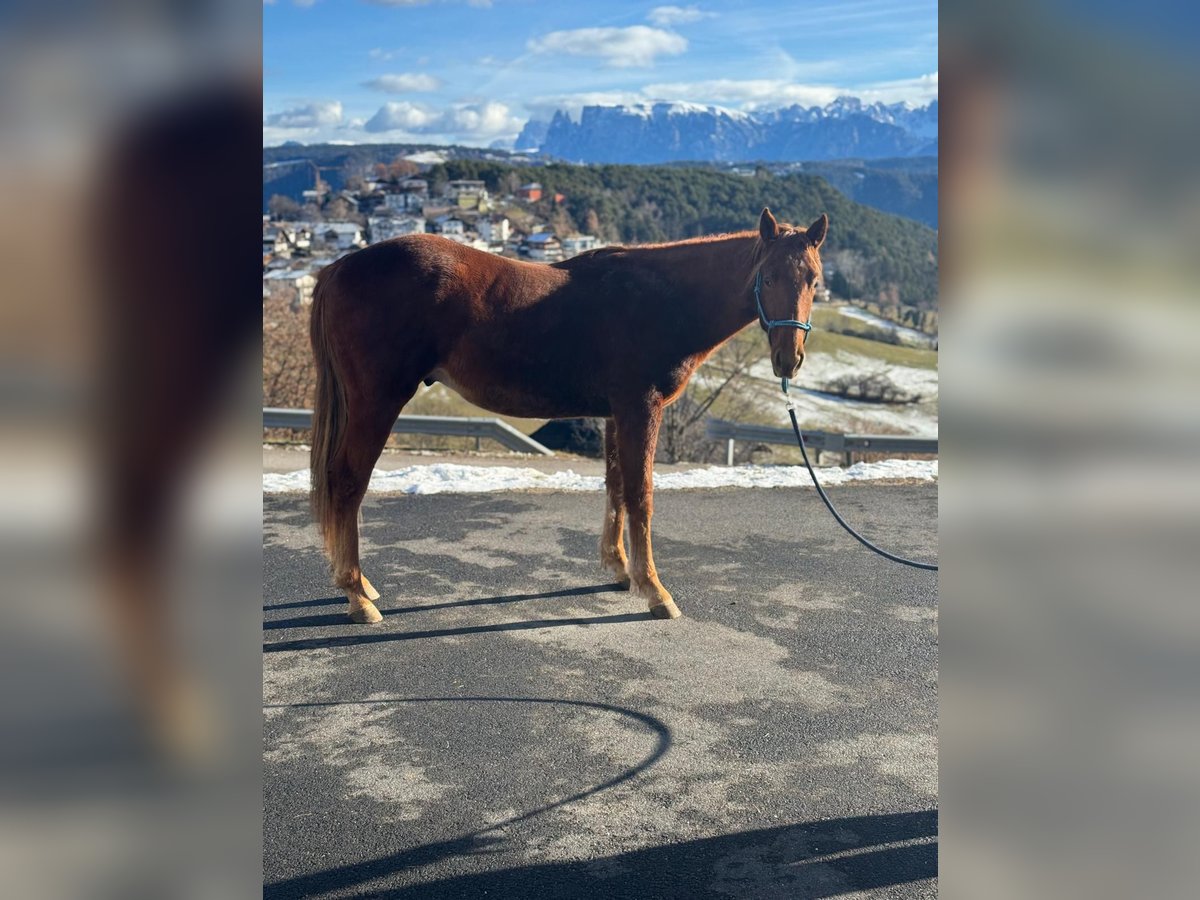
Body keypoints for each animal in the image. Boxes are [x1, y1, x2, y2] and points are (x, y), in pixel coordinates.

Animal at [309, 207, 825, 624]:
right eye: (768, 276)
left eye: (814, 281)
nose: (789, 360)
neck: (662, 299)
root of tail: (338, 267)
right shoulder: (641, 408)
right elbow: (641, 495)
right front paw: (655, 591)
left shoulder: (616, 414)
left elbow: (616, 487)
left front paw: (620, 569)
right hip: (378, 400)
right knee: (348, 482)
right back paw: (358, 596)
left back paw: (356, 584)